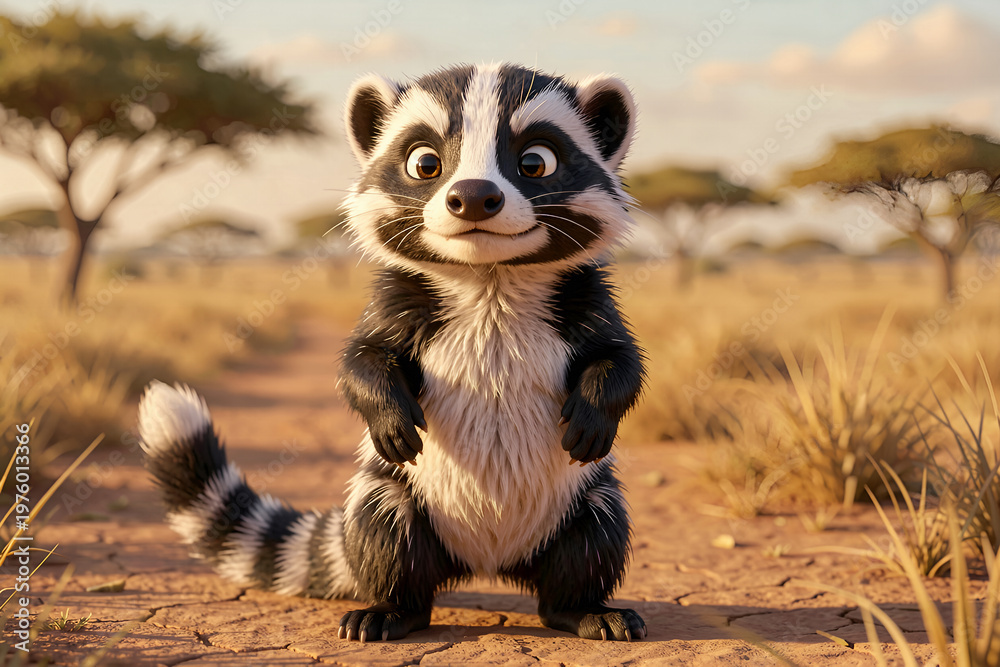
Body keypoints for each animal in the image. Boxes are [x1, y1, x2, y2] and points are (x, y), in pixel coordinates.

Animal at [138, 62, 646, 642]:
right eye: (425, 163)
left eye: (535, 162)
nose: (473, 195)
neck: (488, 281)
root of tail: (489, 561)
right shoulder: (397, 301)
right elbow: (359, 360)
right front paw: (385, 411)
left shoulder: (584, 297)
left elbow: (621, 360)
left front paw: (595, 408)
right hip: (393, 494)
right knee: (386, 531)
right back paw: (391, 609)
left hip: (581, 501)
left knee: (595, 535)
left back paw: (581, 609)